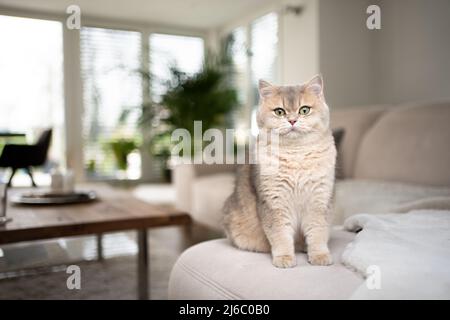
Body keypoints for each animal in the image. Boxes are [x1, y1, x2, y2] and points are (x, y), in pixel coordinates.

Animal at [223, 74, 336, 268]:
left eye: (304, 110)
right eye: (280, 112)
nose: (292, 120)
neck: (296, 155)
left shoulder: (318, 201)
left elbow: (318, 232)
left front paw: (319, 255)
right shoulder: (274, 204)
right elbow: (280, 235)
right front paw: (284, 258)